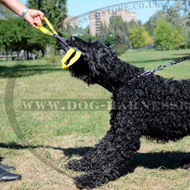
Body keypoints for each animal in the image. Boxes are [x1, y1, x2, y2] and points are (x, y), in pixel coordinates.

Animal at [64, 36, 190, 189]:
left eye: (92, 44)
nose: (72, 37)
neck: (125, 81)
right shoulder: (116, 128)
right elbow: (100, 149)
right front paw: (81, 164)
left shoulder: (126, 134)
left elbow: (111, 158)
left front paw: (90, 178)